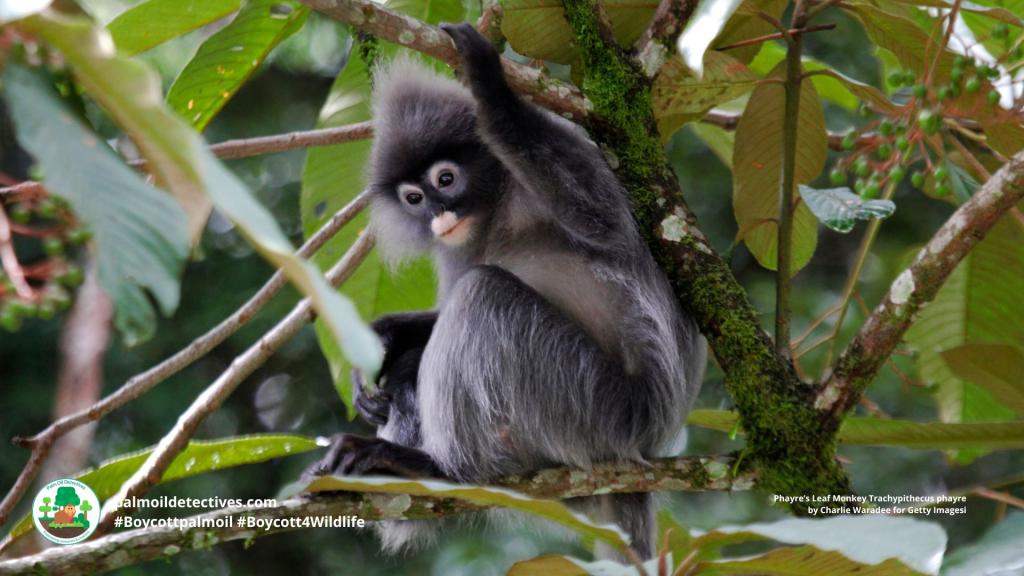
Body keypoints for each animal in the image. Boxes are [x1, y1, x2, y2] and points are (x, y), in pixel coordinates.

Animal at [303, 23, 704, 561]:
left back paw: (435, 470)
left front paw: (491, 88)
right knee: (419, 357)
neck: (497, 206)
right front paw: (381, 339)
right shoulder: (456, 245)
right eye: (415, 198)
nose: (440, 216)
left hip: (593, 409)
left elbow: (597, 218)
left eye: (446, 178)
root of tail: (648, 446)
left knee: (482, 293)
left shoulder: (581, 155)